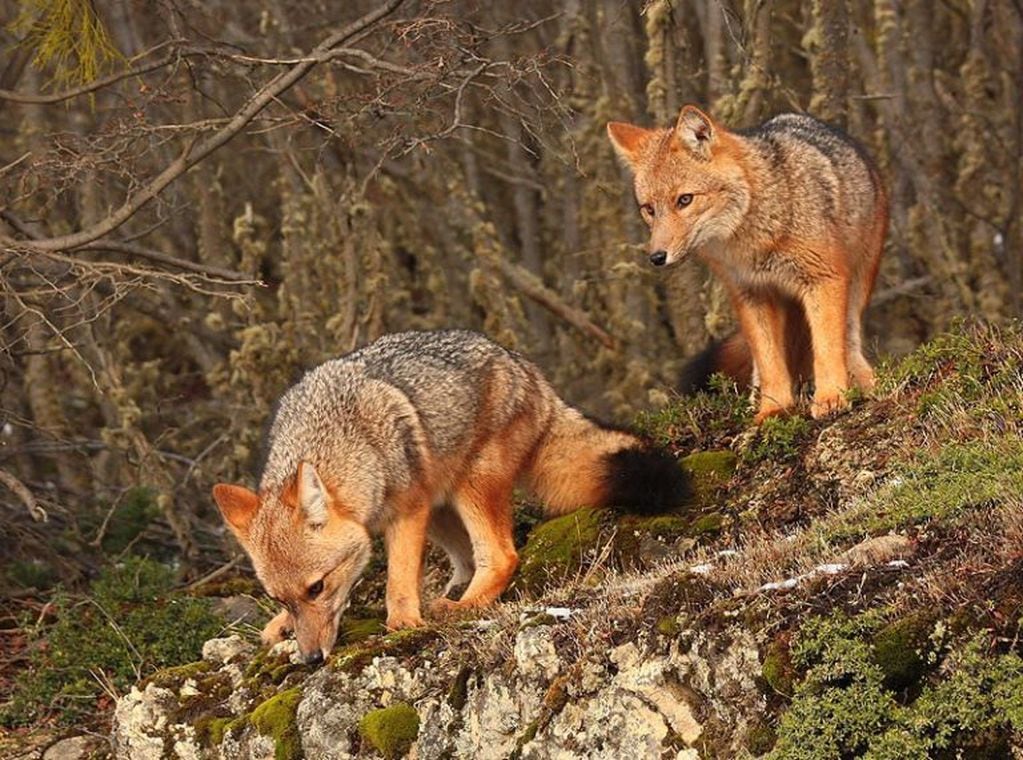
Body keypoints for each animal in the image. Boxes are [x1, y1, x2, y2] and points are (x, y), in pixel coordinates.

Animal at [211, 329, 691, 662]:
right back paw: (454, 596)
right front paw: (279, 627)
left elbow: (399, 579)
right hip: (441, 503)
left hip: (466, 489)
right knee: (468, 561)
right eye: (282, 599)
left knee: (501, 556)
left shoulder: (407, 509)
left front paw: (404, 621)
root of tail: (527, 369)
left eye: (317, 587)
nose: (312, 659)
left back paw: (462, 608)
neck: (347, 439)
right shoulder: (413, 507)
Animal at [605, 105, 887, 421]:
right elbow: (769, 362)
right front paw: (773, 409)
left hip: (857, 284)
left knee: (848, 339)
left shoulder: (823, 279)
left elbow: (827, 348)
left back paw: (865, 383)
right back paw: (755, 400)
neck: (751, 240)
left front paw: (830, 398)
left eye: (685, 200)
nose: (656, 257)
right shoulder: (751, 294)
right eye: (649, 209)